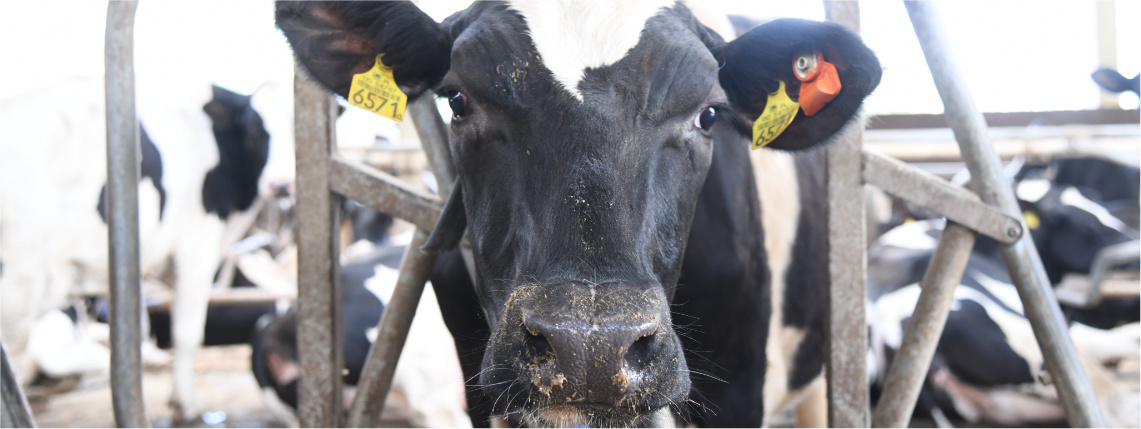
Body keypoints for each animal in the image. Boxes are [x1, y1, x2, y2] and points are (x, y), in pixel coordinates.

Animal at [0, 76, 298, 419]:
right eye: (252, 128)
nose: (282, 184)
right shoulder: (197, 245)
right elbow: (187, 332)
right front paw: (186, 407)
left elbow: (139, 324)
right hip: (20, 286)